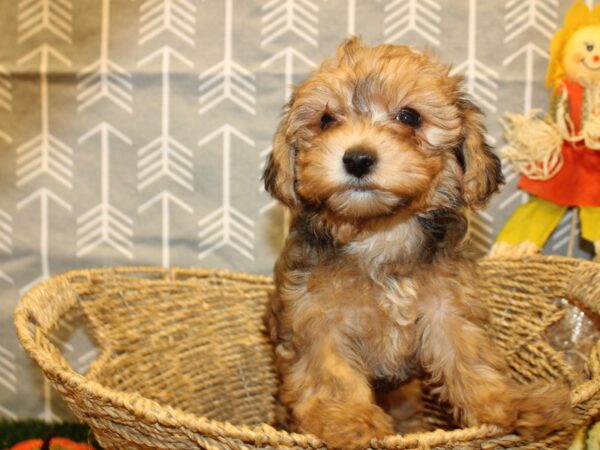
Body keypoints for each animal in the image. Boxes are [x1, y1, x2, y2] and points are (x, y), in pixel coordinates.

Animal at [262, 37, 572, 450]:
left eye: (409, 117)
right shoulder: (314, 316)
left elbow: (471, 357)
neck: (380, 232)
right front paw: (350, 420)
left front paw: (511, 404)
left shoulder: (447, 306)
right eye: (326, 120)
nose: (357, 158)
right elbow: (330, 371)